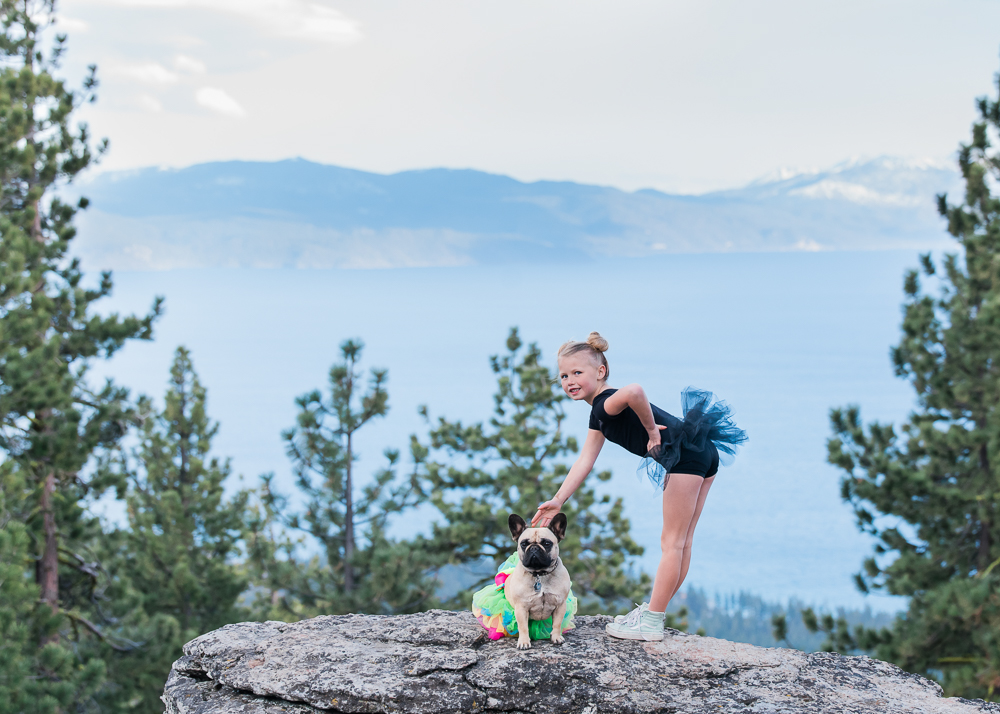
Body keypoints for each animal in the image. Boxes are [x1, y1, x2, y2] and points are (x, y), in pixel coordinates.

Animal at [508, 508, 572, 648]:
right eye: (524, 544)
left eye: (547, 543)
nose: (534, 548)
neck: (540, 574)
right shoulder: (521, 608)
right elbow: (523, 626)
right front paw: (524, 642)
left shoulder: (560, 605)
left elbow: (557, 624)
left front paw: (556, 637)